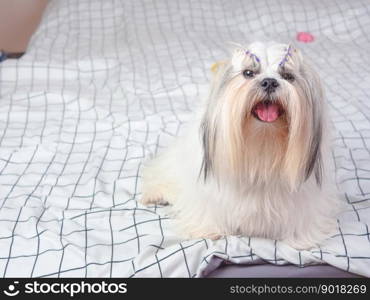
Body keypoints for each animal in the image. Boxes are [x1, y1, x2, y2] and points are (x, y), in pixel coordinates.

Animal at [140, 41, 340, 248]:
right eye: (248, 73)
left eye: (288, 76)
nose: (269, 82)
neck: (262, 145)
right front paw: (208, 231)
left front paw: (300, 239)